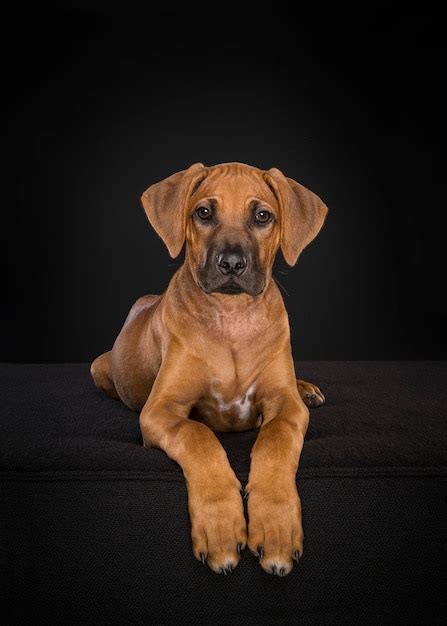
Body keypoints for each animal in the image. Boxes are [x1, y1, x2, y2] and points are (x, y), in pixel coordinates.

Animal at [91, 162, 328, 576]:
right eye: (203, 213)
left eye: (262, 216)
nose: (231, 264)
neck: (231, 318)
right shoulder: (160, 411)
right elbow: (199, 436)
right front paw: (220, 526)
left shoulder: (286, 406)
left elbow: (276, 438)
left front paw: (276, 525)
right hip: (99, 368)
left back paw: (307, 388)